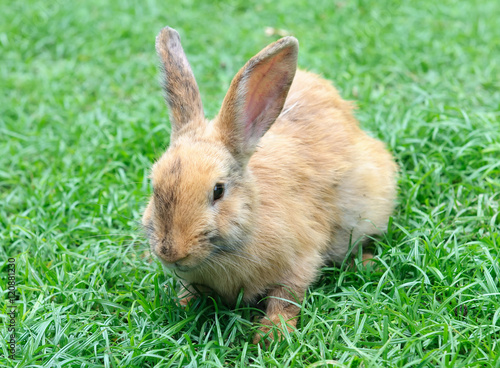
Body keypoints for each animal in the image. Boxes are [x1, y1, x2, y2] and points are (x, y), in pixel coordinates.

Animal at [143, 25, 396, 344]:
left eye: (218, 190)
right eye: (154, 185)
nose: (171, 252)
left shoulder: (300, 259)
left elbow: (286, 298)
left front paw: (271, 335)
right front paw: (181, 305)